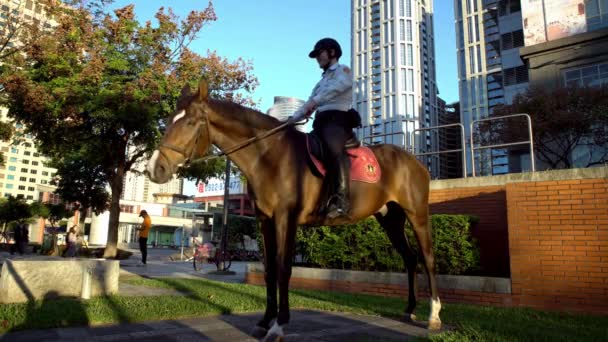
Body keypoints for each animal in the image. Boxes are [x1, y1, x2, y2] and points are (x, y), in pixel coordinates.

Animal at [147, 81, 442, 340]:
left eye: (189, 122)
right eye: (169, 119)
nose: (155, 168)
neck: (269, 155)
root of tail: (416, 162)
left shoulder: (285, 219)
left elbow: (284, 269)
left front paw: (279, 325)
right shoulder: (265, 220)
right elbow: (269, 271)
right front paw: (265, 321)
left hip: (417, 215)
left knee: (427, 258)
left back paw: (434, 316)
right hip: (390, 218)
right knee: (410, 259)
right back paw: (409, 310)